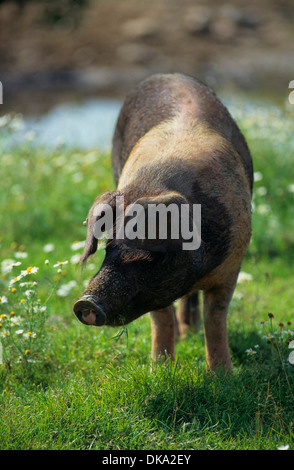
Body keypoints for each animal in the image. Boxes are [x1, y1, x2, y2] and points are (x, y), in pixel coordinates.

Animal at [73, 72, 253, 370]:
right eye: (109, 246)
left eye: (152, 256)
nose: (86, 303)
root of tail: (170, 75)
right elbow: (161, 320)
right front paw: (160, 369)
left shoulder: (232, 265)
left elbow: (215, 320)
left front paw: (222, 374)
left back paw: (191, 333)